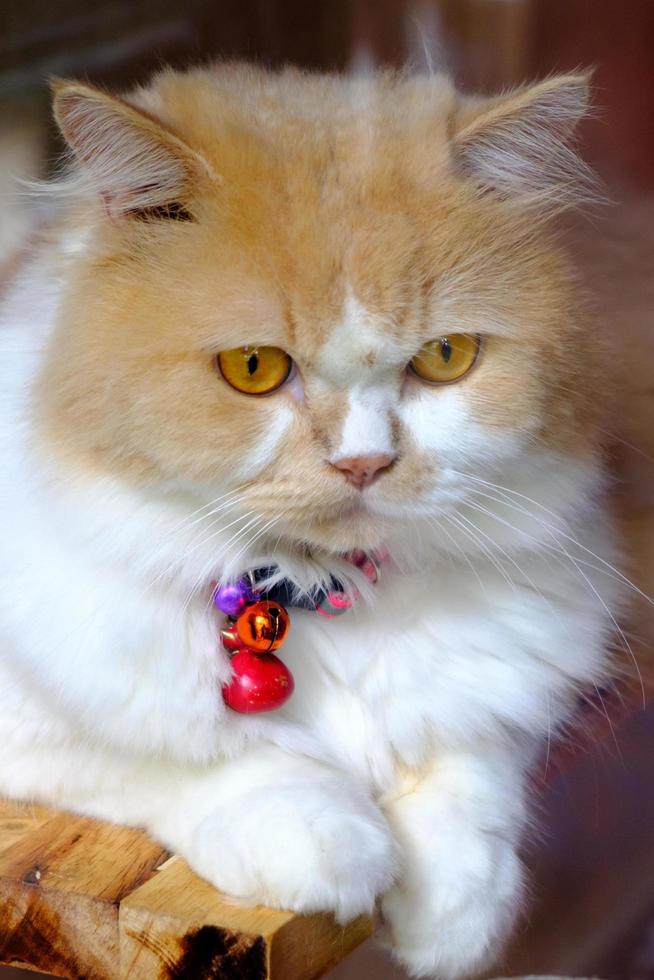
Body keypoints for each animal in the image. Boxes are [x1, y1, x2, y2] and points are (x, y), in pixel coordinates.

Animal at [0, 65, 628, 976]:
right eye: (253, 368)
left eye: (445, 358)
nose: (363, 464)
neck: (318, 588)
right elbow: (189, 756)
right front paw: (333, 843)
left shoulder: (520, 662)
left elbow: (471, 762)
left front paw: (452, 913)